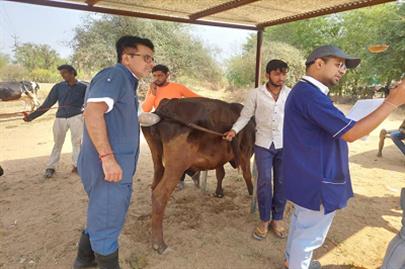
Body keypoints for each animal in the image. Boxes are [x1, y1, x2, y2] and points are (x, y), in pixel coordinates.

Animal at [141, 97, 252, 253]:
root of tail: (164, 108)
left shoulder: (219, 157)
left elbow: (220, 173)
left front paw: (219, 192)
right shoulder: (246, 154)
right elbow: (248, 177)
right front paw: (252, 197)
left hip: (157, 159)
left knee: (154, 186)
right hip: (176, 166)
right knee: (159, 195)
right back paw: (159, 244)